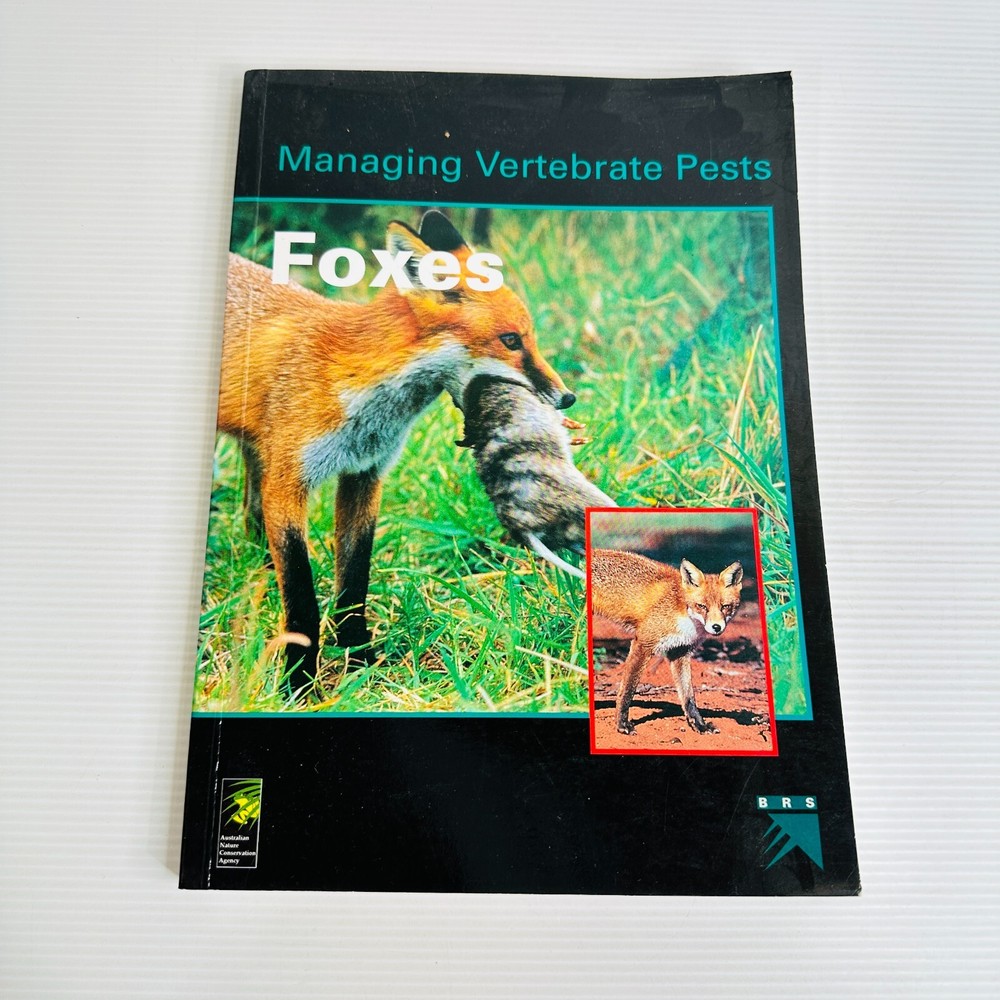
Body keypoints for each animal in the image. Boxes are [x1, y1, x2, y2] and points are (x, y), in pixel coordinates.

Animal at [218, 211, 574, 691]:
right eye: (511, 340)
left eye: (526, 338)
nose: (568, 397)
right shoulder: (289, 482)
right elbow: (302, 597)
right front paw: (300, 683)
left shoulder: (364, 475)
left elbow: (353, 583)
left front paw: (359, 662)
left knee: (252, 517)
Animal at [590, 549, 744, 735]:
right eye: (702, 606)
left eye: (725, 606)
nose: (716, 627)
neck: (684, 614)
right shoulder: (643, 642)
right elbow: (628, 689)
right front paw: (622, 724)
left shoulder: (680, 651)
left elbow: (688, 697)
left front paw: (699, 724)